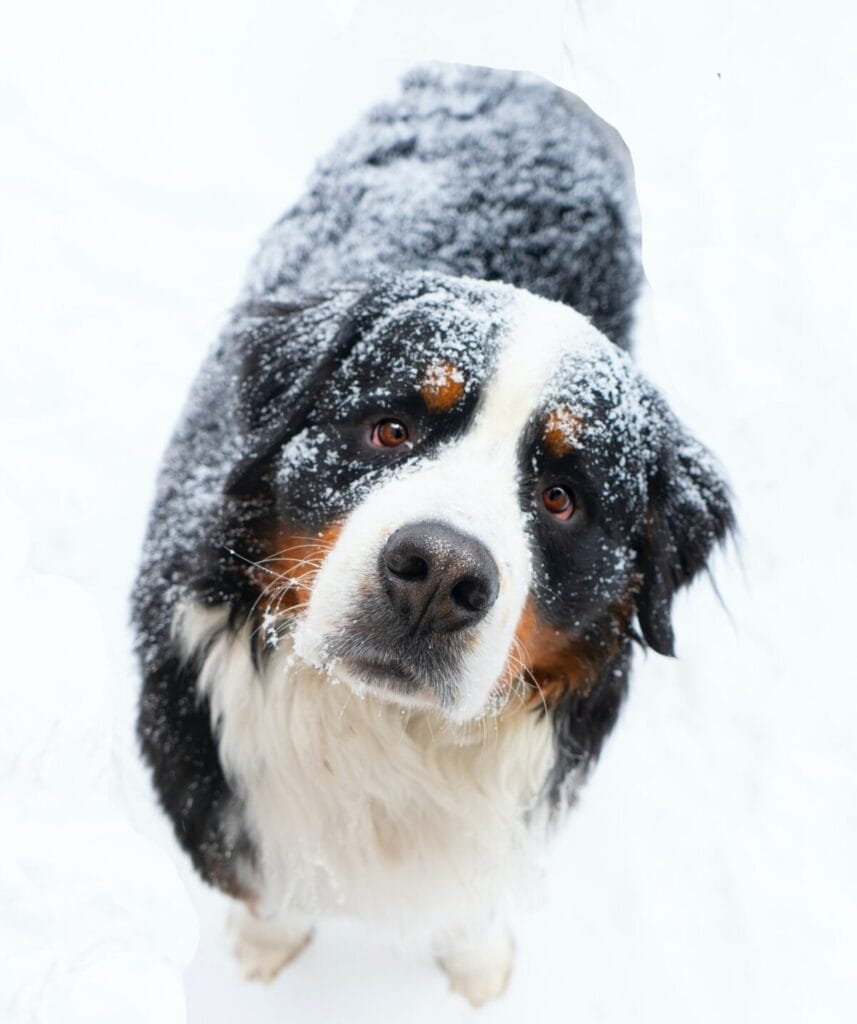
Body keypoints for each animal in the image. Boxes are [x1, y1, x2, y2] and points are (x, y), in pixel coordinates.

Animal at [130, 66, 733, 1007]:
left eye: (560, 497)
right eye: (391, 430)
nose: (439, 576)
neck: (382, 733)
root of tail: (519, 77)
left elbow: (474, 901)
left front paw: (478, 972)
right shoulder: (205, 770)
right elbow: (263, 890)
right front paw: (262, 956)